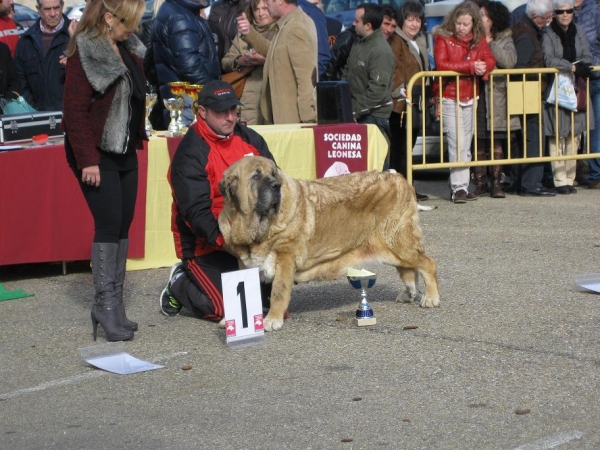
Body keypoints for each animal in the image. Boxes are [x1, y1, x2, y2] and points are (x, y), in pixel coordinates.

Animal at [218, 156, 438, 330]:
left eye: (274, 174)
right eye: (255, 177)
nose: (275, 185)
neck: (259, 227)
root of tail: (399, 177)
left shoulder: (286, 258)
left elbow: (279, 291)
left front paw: (272, 320)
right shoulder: (246, 264)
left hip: (398, 243)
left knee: (427, 263)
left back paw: (430, 298)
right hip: (392, 249)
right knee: (408, 270)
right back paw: (409, 294)